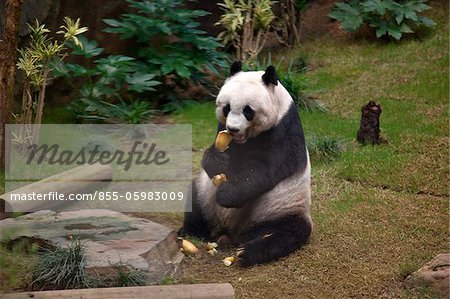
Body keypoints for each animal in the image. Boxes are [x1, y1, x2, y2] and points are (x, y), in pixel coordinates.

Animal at [180, 62, 312, 268]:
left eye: (248, 110)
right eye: (226, 108)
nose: (233, 129)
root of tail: (231, 232)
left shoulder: (283, 131)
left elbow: (263, 170)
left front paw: (227, 194)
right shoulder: (223, 130)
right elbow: (215, 154)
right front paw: (219, 160)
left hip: (282, 207)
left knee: (285, 232)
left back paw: (247, 252)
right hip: (204, 194)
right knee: (195, 203)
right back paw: (190, 233)